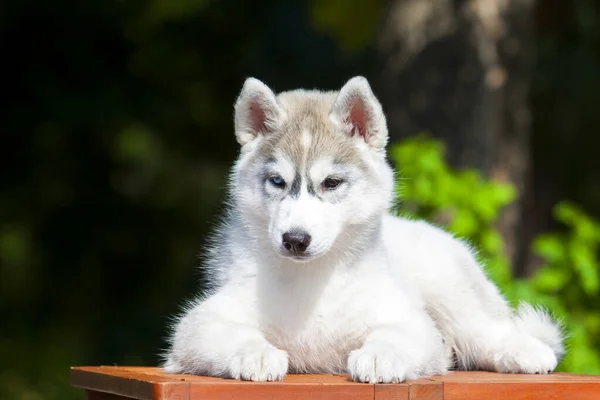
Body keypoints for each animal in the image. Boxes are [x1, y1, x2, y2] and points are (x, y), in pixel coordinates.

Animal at [163, 76, 564, 382]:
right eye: (277, 181)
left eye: (331, 183)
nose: (295, 240)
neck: (312, 280)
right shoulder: (198, 323)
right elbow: (225, 331)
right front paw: (255, 354)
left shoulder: (410, 321)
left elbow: (395, 333)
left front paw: (380, 356)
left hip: (452, 287)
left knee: (486, 331)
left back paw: (527, 352)